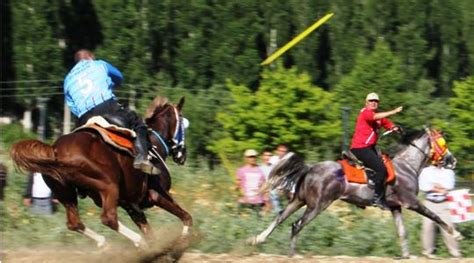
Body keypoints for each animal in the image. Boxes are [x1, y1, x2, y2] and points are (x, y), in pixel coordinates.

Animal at [9, 97, 191, 250]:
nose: (182, 154)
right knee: (109, 218)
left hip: (65, 193)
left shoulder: (132, 206)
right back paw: (136, 242)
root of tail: (54, 151)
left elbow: (150, 231)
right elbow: (186, 217)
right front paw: (181, 241)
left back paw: (105, 243)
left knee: (75, 223)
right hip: (108, 186)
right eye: (182, 122)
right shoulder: (157, 194)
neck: (153, 143)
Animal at [250, 128, 462, 258]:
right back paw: (292, 255)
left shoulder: (396, 207)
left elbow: (402, 232)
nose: (452, 160)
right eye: (443, 143)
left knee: (280, 217)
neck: (406, 166)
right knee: (296, 225)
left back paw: (259, 238)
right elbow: (435, 216)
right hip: (317, 205)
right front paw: (456, 233)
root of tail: (310, 168)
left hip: (299, 201)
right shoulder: (412, 203)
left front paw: (407, 255)